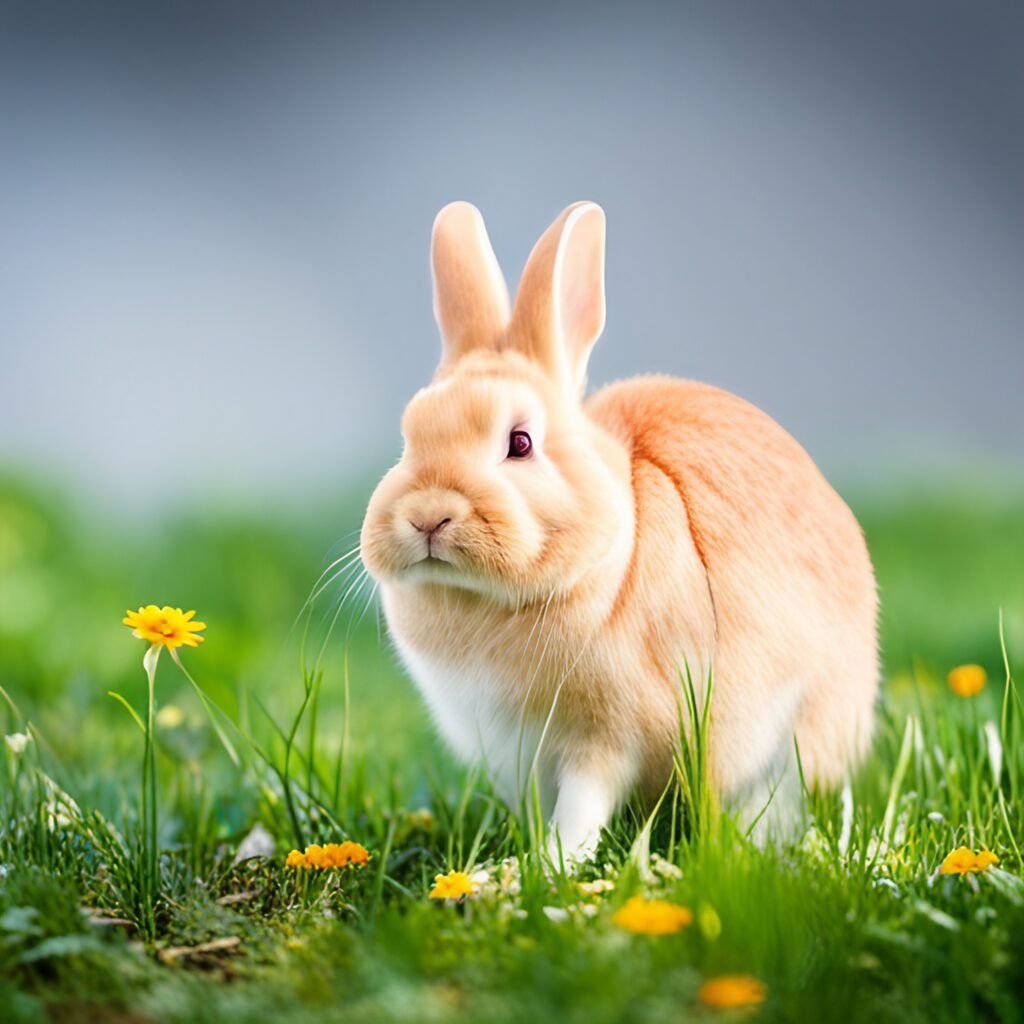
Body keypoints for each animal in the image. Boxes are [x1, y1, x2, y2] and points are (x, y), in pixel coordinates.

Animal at [360, 200, 878, 861]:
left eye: (520, 442)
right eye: (410, 435)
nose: (428, 515)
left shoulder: (605, 740)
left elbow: (582, 805)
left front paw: (547, 864)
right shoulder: (515, 755)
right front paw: (522, 859)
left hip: (797, 736)